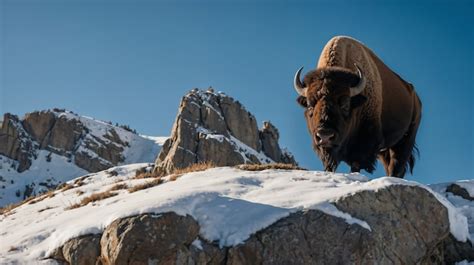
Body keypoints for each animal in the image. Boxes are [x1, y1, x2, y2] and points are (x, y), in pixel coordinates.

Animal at [292, 34, 422, 175]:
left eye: (345, 104)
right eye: (310, 105)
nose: (325, 135)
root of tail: (415, 97)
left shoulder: (363, 145)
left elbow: (356, 164)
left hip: (405, 141)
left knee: (396, 166)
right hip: (386, 149)